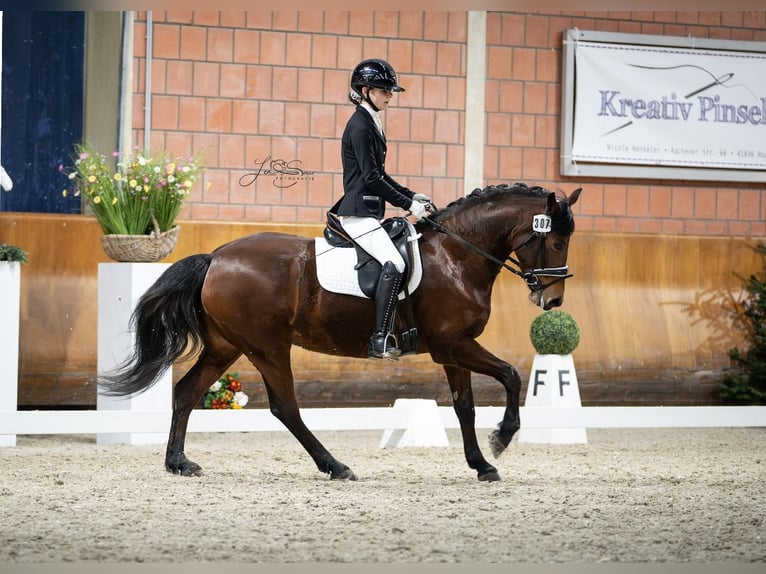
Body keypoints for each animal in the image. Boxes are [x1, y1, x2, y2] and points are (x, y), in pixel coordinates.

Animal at [100, 182, 584, 484]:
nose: (553, 301)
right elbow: (510, 375)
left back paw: (179, 462)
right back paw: (335, 466)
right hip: (266, 347)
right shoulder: (454, 344)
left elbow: (464, 406)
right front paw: (502, 438)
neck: (457, 255)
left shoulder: (451, 350)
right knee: (285, 408)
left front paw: (482, 464)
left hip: (227, 346)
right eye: (556, 241)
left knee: (186, 392)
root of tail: (216, 257)